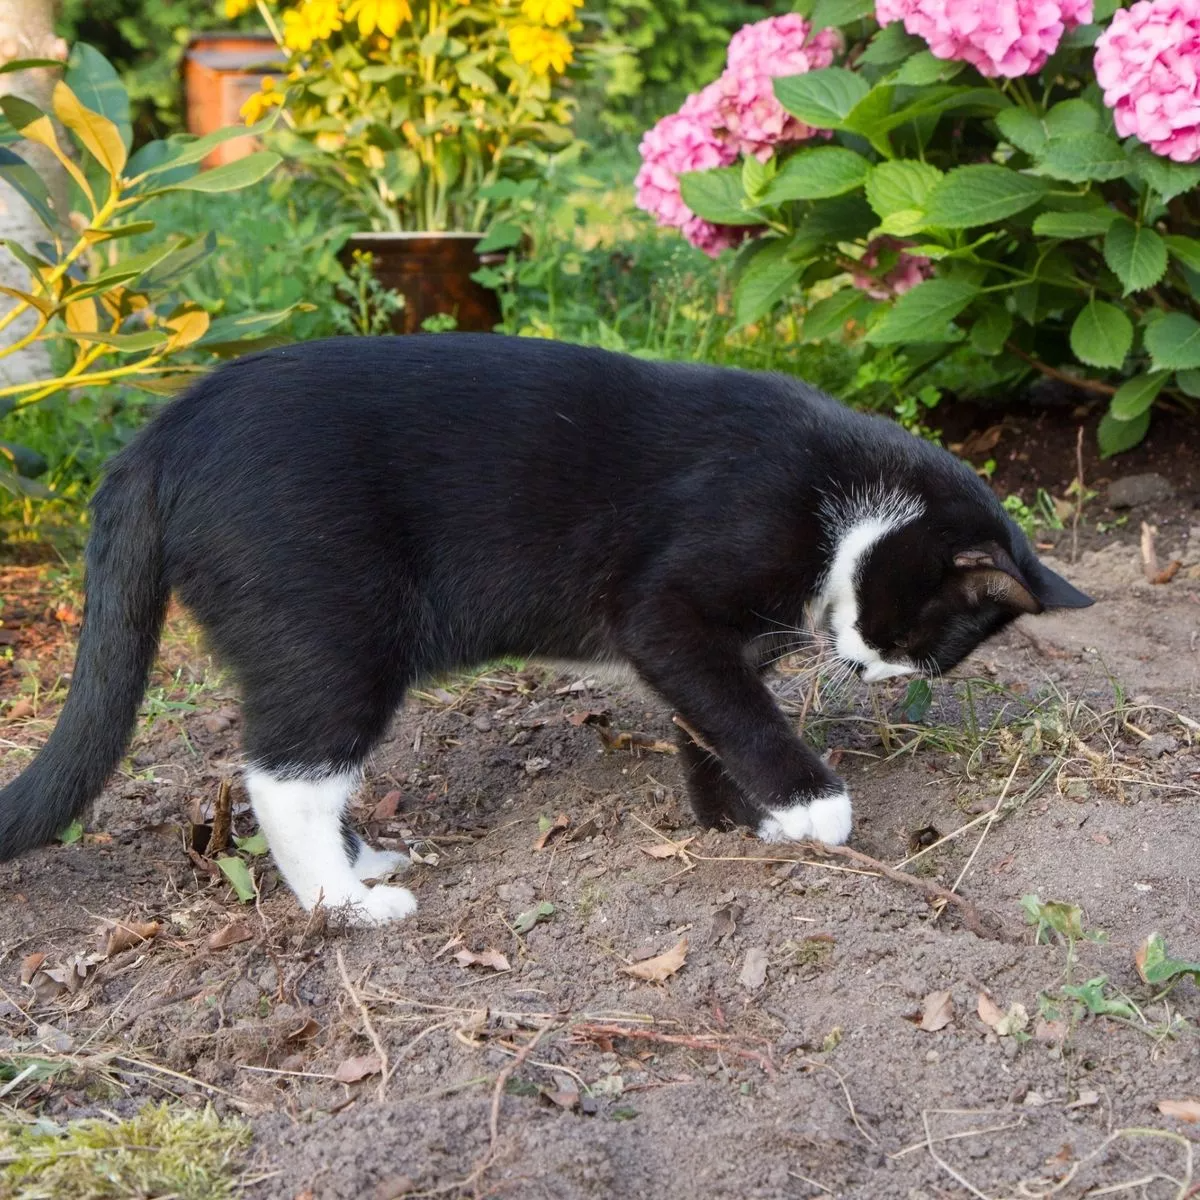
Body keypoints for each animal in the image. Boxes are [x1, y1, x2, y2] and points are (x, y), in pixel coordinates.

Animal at [0, 333, 1089, 921]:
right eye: (915, 637)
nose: (870, 670)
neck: (845, 496)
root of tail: (160, 436)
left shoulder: (709, 646)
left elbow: (707, 719)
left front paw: (737, 820)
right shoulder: (667, 603)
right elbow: (735, 708)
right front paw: (815, 808)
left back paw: (363, 864)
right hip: (334, 623)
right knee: (285, 774)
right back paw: (348, 905)